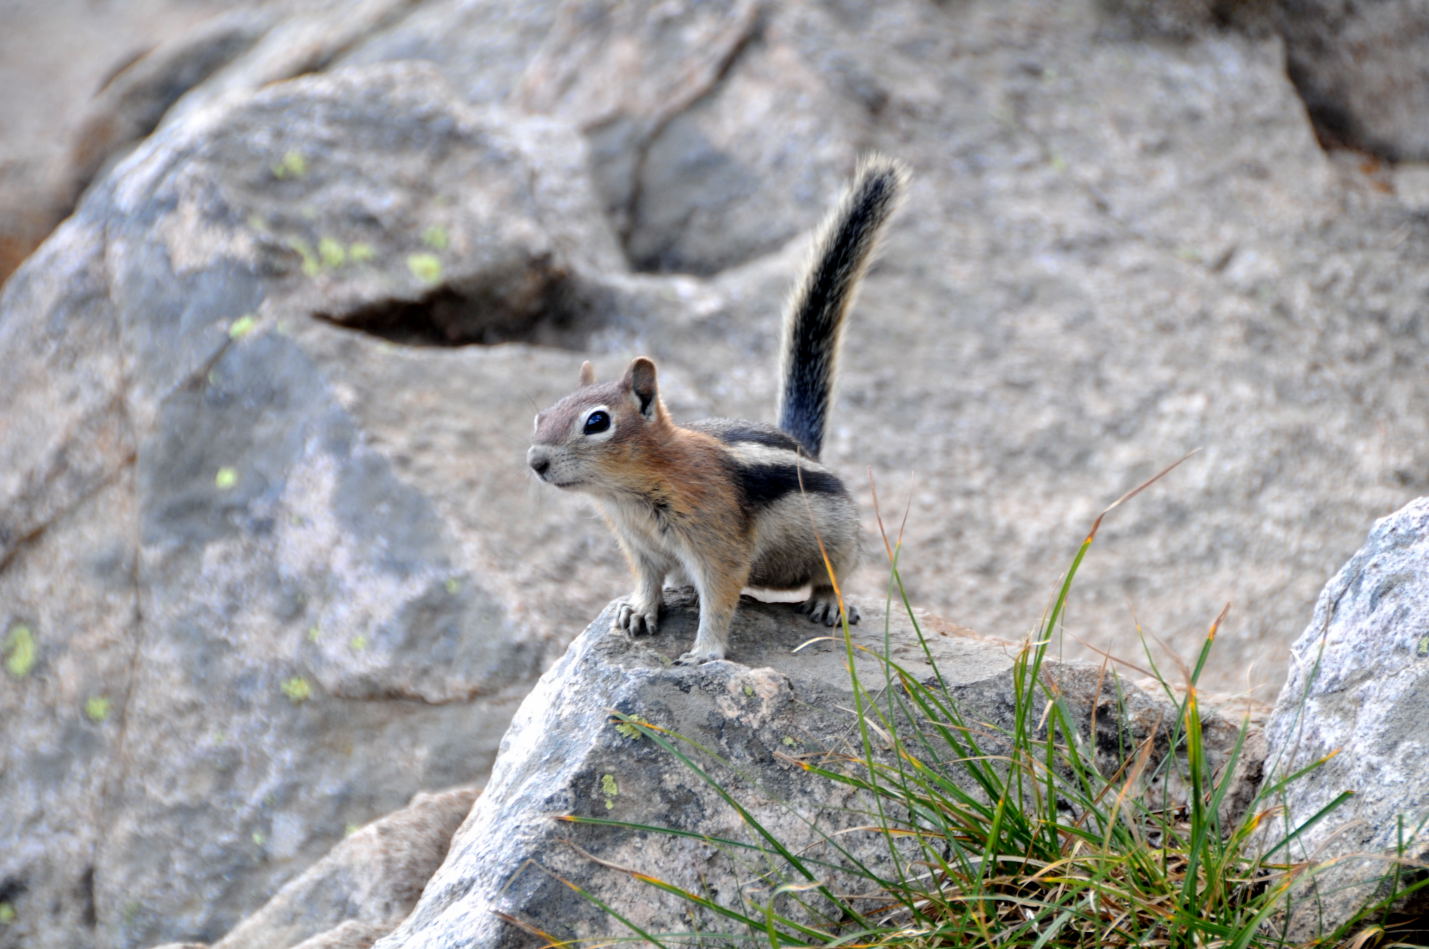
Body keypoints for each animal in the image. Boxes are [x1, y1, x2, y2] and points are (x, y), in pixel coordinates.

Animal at [525, 155, 903, 663]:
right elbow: (648, 581)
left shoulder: (717, 543)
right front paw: (637, 611)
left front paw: (705, 651)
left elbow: (720, 598)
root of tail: (804, 448)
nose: (535, 462)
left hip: (839, 534)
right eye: (542, 415)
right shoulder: (640, 547)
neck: (629, 495)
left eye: (597, 422)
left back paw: (829, 602)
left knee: (837, 572)